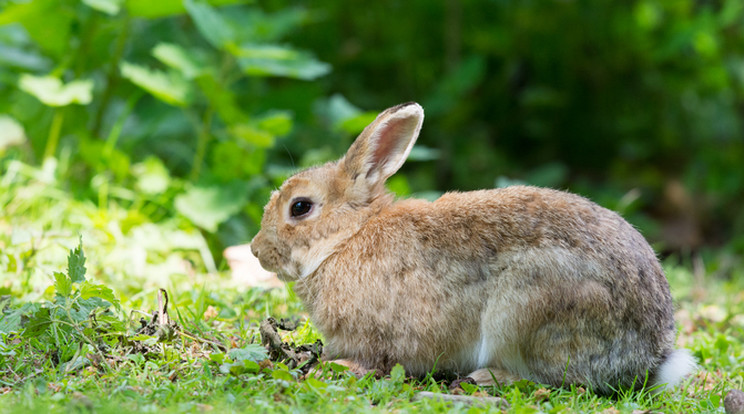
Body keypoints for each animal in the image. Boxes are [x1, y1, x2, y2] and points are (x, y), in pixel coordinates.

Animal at [251, 102, 696, 392]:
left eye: (300, 207)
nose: (256, 250)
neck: (347, 237)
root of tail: (648, 356)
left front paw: (336, 366)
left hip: (527, 310)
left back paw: (488, 377)